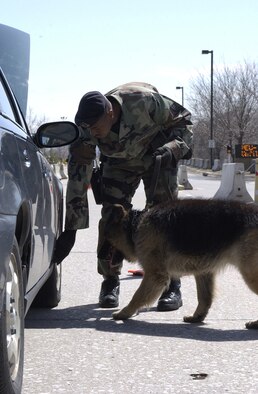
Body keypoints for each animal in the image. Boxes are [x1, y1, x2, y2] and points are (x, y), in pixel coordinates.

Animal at [103, 199, 258, 328]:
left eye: (106, 237)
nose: (101, 254)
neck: (136, 224)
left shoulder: (154, 275)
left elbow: (138, 296)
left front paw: (124, 313)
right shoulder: (203, 272)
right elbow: (204, 298)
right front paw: (197, 317)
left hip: (250, 275)